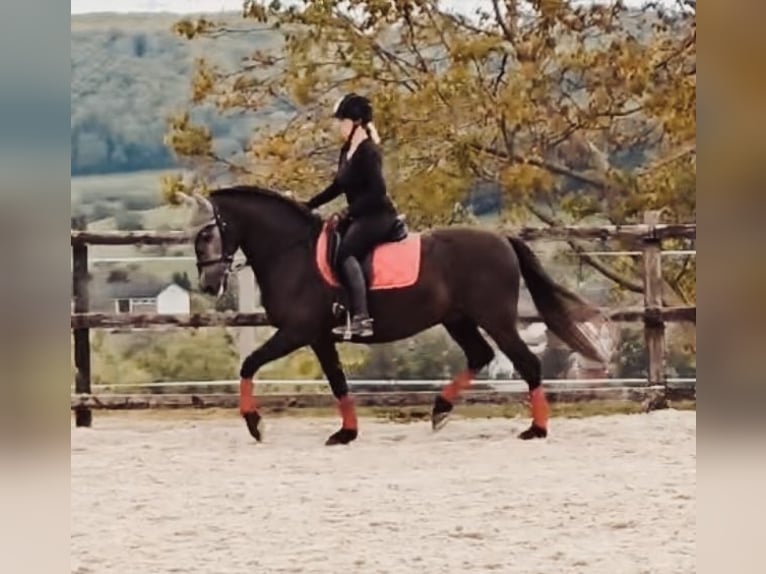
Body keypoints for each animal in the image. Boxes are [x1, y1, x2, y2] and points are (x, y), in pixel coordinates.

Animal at [178, 187, 608, 448]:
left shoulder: (298, 331)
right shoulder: (319, 336)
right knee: (480, 356)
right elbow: (337, 381)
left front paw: (255, 423)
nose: (208, 284)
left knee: (527, 362)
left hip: (495, 318)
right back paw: (440, 410)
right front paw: (346, 433)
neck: (292, 252)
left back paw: (536, 428)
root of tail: (502, 239)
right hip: (457, 318)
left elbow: (249, 364)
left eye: (205, 235)